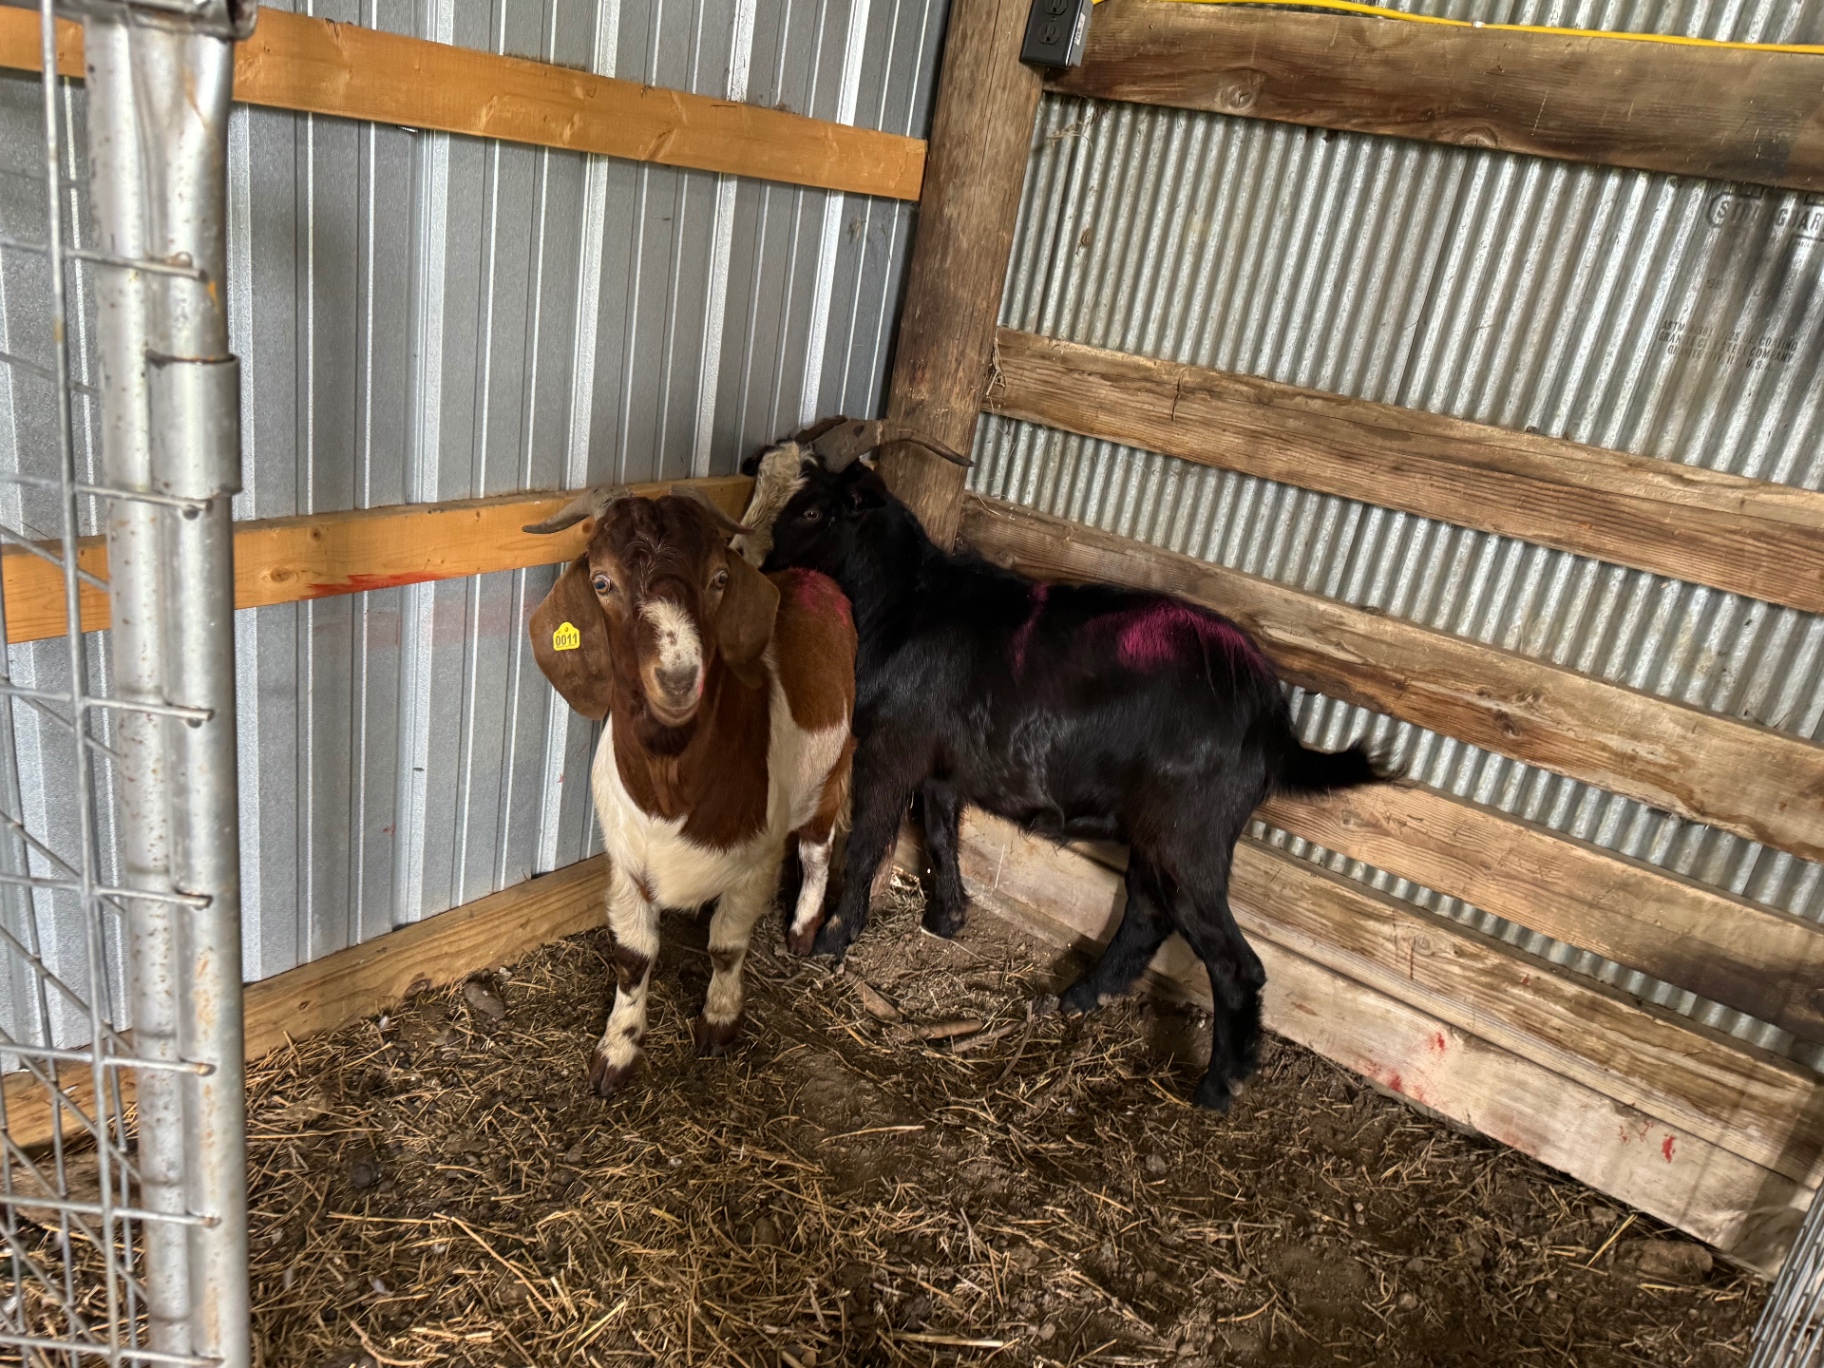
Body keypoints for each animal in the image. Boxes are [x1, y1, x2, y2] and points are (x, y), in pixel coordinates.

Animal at [526, 486, 856, 1096]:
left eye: (719, 578)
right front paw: (616, 1051)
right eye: (601, 582)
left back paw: (803, 928)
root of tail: (812, 579)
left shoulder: (756, 861)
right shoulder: (627, 862)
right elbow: (633, 957)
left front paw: (719, 1022)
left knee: (818, 849)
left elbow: (727, 946)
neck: (671, 787)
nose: (680, 678)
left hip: (832, 766)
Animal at [761, 461, 1388, 1111]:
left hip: (1190, 834)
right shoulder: (944, 764)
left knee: (1233, 961)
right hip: (1159, 833)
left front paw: (834, 938)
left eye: (813, 513)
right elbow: (939, 832)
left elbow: (867, 844)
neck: (905, 605)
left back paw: (1218, 1087)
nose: (766, 571)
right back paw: (1080, 998)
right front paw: (948, 919)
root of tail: (1274, 724)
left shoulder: (892, 749)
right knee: (1147, 913)